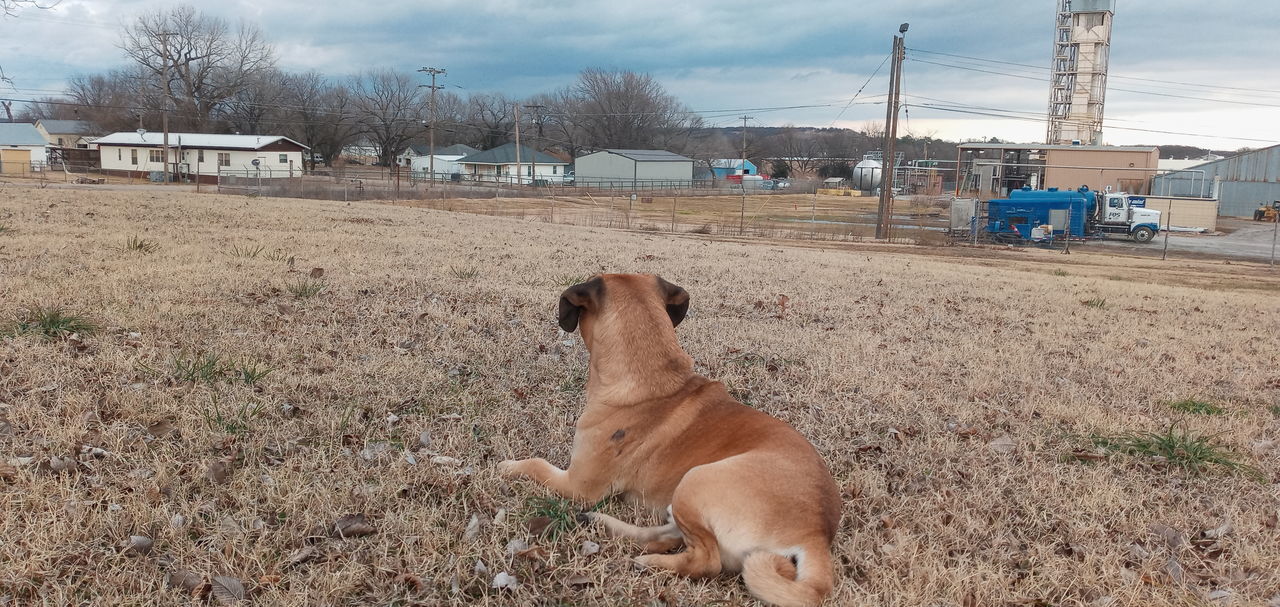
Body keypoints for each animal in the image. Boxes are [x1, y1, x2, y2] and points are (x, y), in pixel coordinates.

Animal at [496, 275, 839, 607]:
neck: (652, 377)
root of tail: (815, 535)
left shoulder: (579, 485)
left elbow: (536, 463)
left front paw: (509, 467)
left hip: (697, 480)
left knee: (706, 560)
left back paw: (651, 563)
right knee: (671, 535)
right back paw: (607, 525)